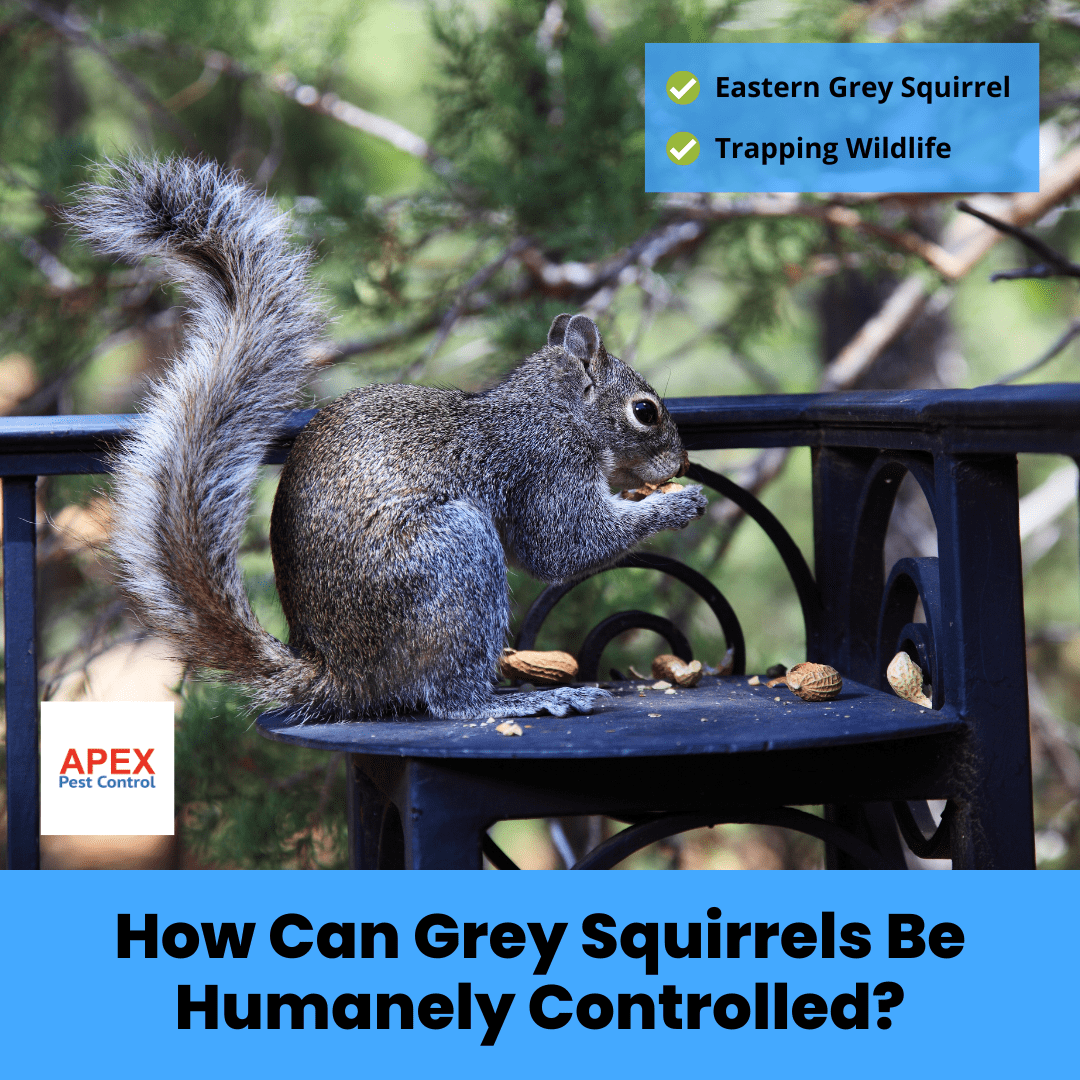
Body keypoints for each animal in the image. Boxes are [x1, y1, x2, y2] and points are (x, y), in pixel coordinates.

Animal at [70, 158, 707, 722]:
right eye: (645, 411)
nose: (683, 462)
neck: (553, 412)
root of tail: (342, 675)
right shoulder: (544, 466)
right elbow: (564, 547)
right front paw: (677, 504)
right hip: (452, 559)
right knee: (451, 700)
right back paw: (514, 701)